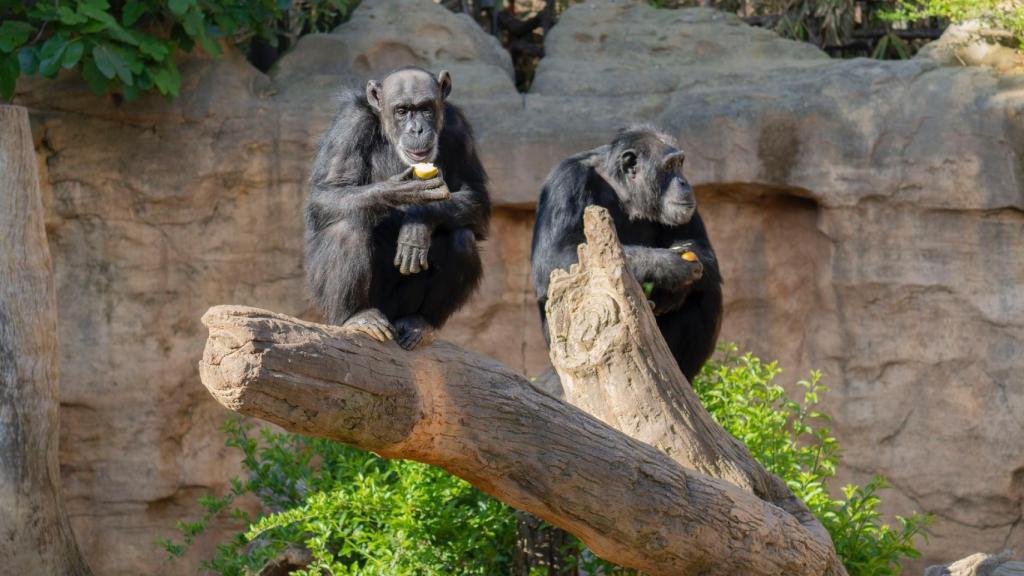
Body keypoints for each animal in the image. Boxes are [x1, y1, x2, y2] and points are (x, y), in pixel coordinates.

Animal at [303, 65, 491, 348]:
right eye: (402, 111)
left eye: (425, 108)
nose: (417, 130)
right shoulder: (350, 124)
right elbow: (328, 191)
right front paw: (403, 192)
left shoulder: (460, 130)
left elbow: (477, 196)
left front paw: (419, 223)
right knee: (347, 225)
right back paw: (358, 316)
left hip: (402, 306)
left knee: (462, 239)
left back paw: (420, 322)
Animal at [532, 125, 724, 381]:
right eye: (669, 166)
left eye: (680, 163)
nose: (684, 182)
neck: (622, 189)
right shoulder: (565, 180)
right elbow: (553, 257)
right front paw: (667, 266)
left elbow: (703, 251)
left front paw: (671, 290)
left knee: (707, 292)